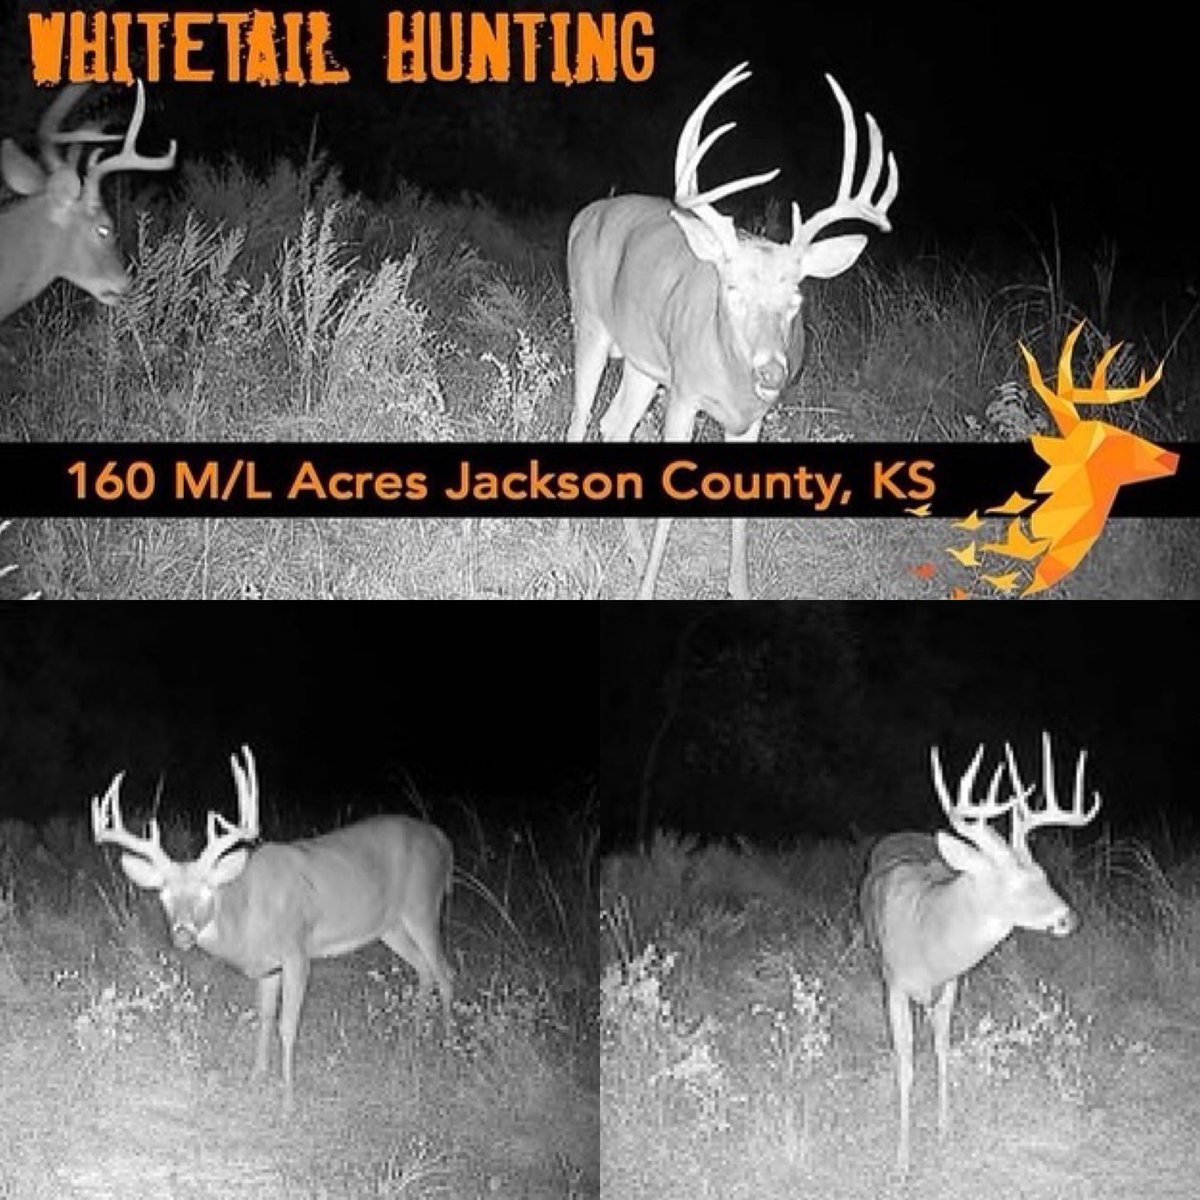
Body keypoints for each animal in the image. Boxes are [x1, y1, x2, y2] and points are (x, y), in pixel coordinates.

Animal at [91, 745, 454, 1114]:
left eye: (208, 891)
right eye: (164, 895)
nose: (183, 934)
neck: (248, 911)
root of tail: (443, 840)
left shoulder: (297, 952)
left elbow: (287, 1025)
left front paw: (288, 1101)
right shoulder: (269, 966)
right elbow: (265, 1016)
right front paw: (255, 1078)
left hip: (423, 906)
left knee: (446, 972)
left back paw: (448, 1051)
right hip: (390, 925)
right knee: (424, 970)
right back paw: (414, 1040)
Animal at [565, 63, 897, 599]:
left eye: (796, 297)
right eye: (733, 287)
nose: (772, 373)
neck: (731, 379)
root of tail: (585, 215)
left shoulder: (751, 417)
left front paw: (738, 588)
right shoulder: (684, 394)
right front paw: (648, 590)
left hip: (643, 362)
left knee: (614, 425)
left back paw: (632, 553)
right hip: (591, 324)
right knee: (580, 419)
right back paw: (564, 541)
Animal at [859, 732, 1101, 1175]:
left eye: (1044, 874)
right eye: (1014, 883)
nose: (1070, 919)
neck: (929, 936)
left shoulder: (952, 984)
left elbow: (942, 1051)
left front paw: (944, 1129)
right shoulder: (895, 986)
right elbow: (905, 1064)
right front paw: (902, 1159)